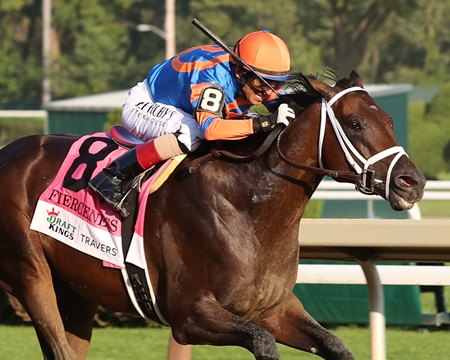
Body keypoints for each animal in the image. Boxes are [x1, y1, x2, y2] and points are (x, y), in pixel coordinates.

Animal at [0, 71, 426, 358]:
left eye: (389, 120)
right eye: (354, 124)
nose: (412, 182)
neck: (249, 207)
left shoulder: (274, 308)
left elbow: (335, 344)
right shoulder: (189, 315)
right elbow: (262, 342)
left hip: (75, 293)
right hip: (31, 274)